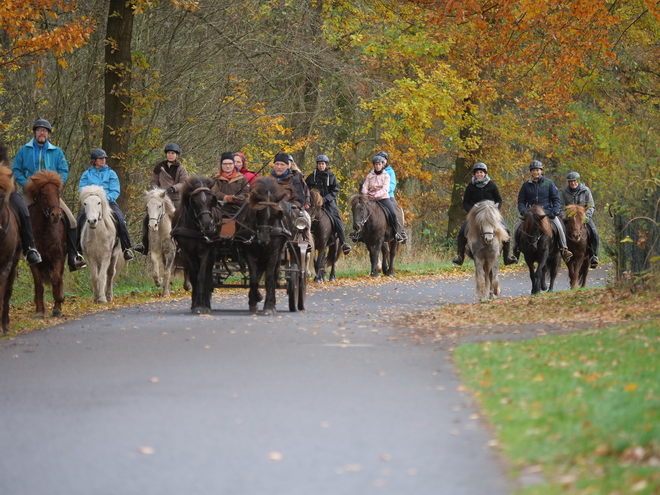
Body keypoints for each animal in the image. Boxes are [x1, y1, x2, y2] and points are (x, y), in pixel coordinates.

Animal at [24, 170, 66, 318]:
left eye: (58, 192)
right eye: (43, 193)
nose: (56, 215)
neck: (44, 230)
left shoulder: (58, 258)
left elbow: (56, 280)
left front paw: (58, 306)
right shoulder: (34, 262)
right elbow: (39, 285)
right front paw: (40, 311)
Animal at [171, 175, 220, 314]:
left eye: (211, 199)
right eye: (194, 201)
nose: (208, 224)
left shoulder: (207, 251)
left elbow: (202, 276)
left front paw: (203, 306)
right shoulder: (187, 252)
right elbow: (193, 276)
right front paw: (196, 305)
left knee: (208, 274)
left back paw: (207, 302)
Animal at [235, 178, 292, 316]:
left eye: (277, 214)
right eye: (258, 212)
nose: (264, 239)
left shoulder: (274, 252)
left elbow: (270, 279)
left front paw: (269, 306)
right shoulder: (249, 252)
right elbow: (254, 278)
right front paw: (255, 299)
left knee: (274, 276)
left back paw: (272, 302)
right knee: (260, 272)